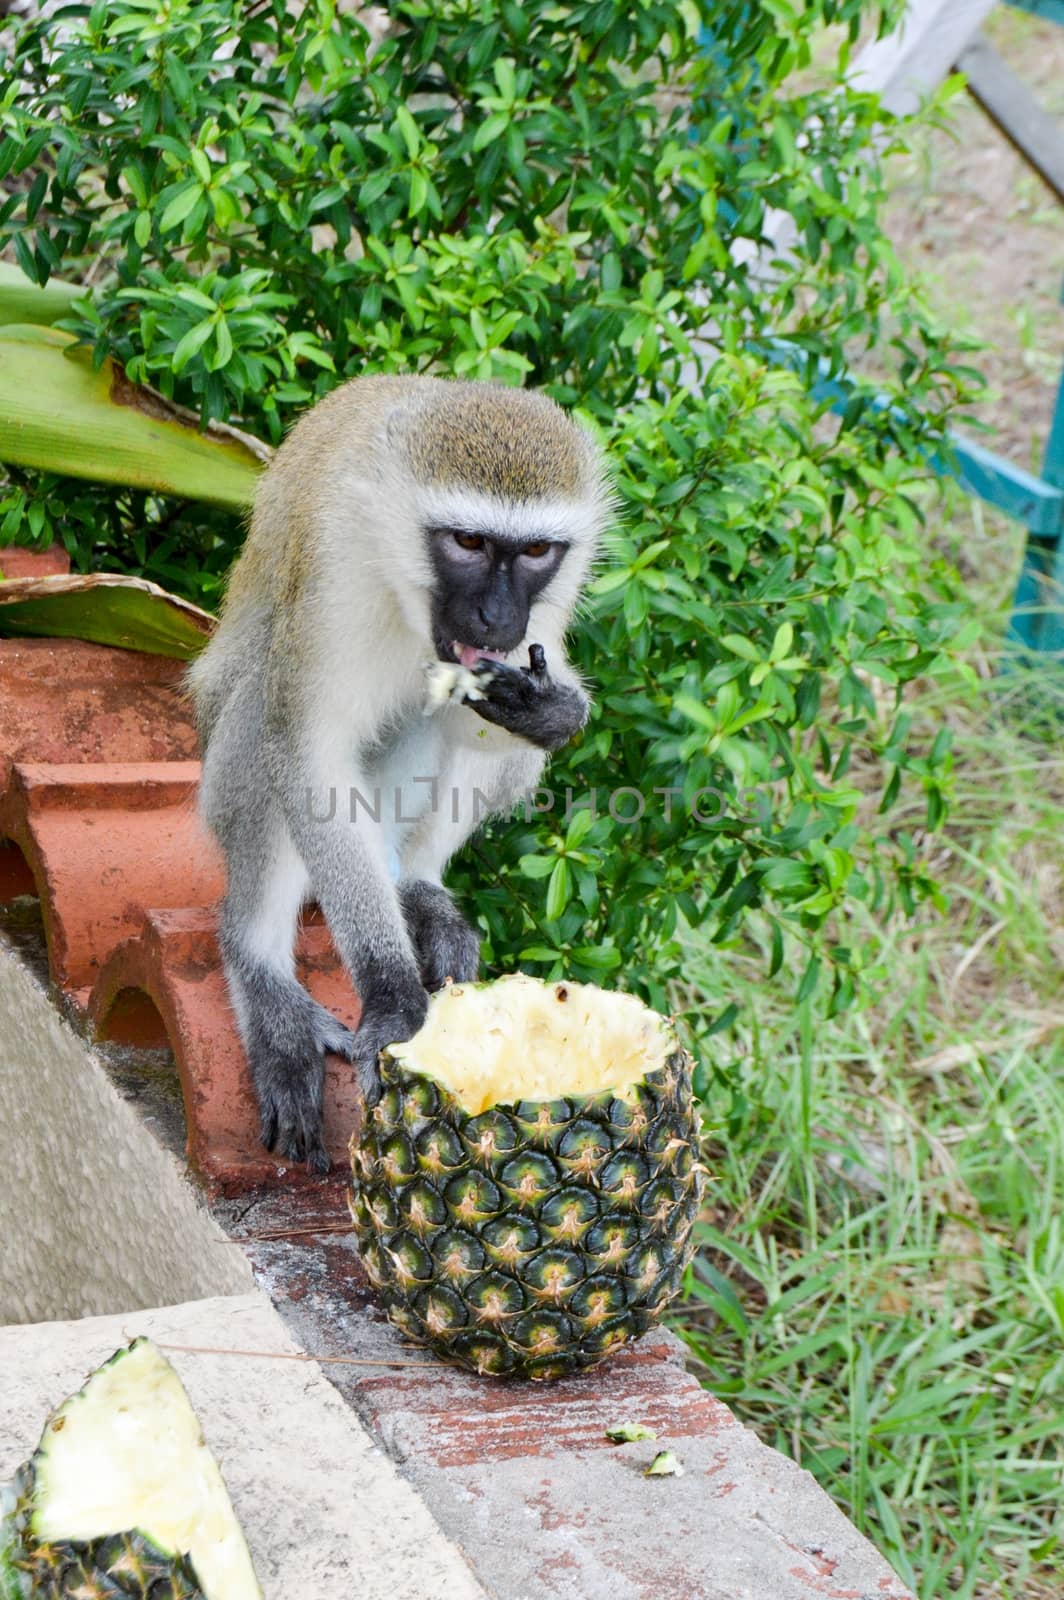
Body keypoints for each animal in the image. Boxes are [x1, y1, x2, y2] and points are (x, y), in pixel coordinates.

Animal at [186, 379, 611, 1171]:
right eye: (468, 543)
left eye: (536, 550)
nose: (497, 616)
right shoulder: (335, 560)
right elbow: (308, 748)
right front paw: (389, 993)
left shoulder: (538, 619)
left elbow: (496, 722)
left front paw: (553, 709)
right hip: (219, 775)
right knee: (265, 708)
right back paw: (259, 968)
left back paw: (414, 886)